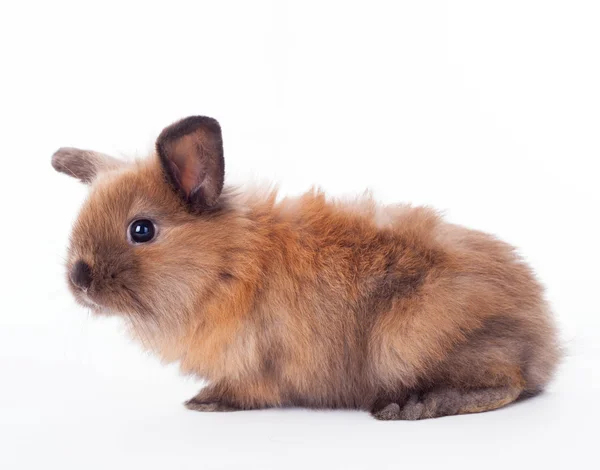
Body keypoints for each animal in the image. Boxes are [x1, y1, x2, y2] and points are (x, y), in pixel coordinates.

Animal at [52, 115, 564, 420]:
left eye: (141, 230)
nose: (79, 279)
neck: (228, 264)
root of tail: (544, 343)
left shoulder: (257, 363)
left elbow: (247, 388)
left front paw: (206, 401)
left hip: (407, 343)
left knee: (508, 384)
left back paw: (411, 405)